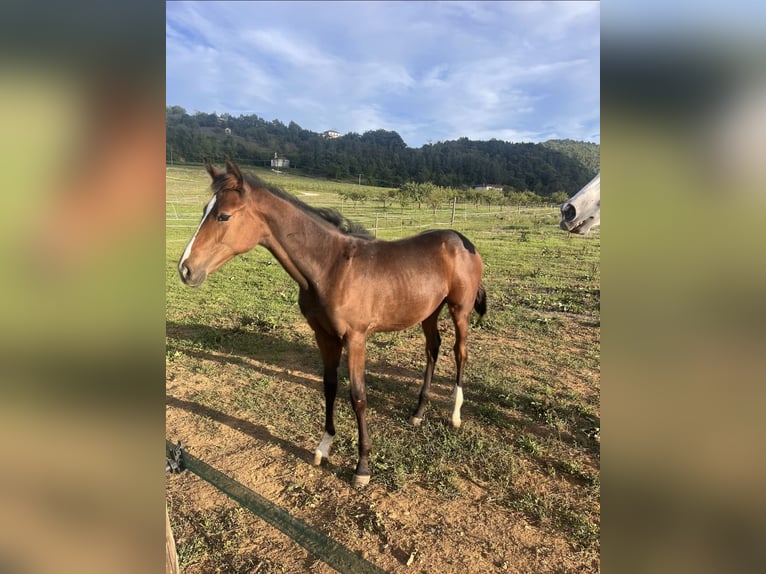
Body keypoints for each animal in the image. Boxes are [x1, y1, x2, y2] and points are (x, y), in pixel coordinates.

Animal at [178, 160, 486, 487]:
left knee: (460, 352)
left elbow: (358, 396)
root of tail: (462, 240)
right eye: (204, 211)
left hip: (460, 309)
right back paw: (418, 412)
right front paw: (324, 447)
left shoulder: (356, 338)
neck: (331, 268)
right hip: (429, 310)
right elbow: (329, 386)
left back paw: (454, 414)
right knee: (432, 349)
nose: (185, 269)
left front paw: (362, 467)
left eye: (224, 215)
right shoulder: (323, 336)